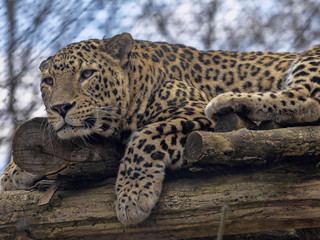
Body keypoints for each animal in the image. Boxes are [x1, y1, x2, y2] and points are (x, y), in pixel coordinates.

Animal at [1, 31, 320, 225]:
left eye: (87, 74)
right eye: (48, 82)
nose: (60, 108)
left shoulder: (193, 113)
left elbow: (147, 135)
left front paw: (132, 197)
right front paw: (10, 175)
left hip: (311, 58)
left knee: (306, 99)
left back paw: (228, 101)